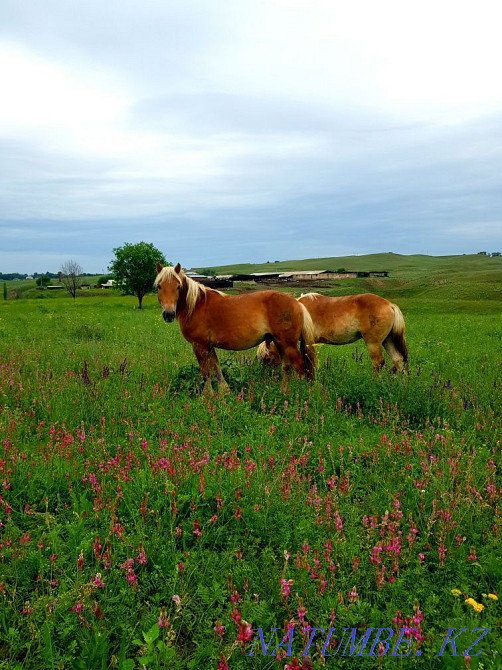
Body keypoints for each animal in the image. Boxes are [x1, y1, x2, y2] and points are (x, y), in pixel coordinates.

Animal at [155, 263, 317, 393]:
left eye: (178, 286)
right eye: (159, 286)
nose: (168, 314)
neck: (196, 305)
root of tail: (297, 303)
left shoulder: (199, 346)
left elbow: (206, 373)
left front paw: (207, 396)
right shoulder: (209, 346)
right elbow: (217, 369)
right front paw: (224, 392)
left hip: (287, 344)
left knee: (300, 367)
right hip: (280, 344)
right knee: (287, 368)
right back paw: (283, 393)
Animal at [257, 292, 408, 373]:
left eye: (267, 358)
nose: (266, 376)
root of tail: (389, 305)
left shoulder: (308, 342)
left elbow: (309, 361)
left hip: (373, 343)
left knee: (378, 363)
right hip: (387, 340)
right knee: (398, 360)